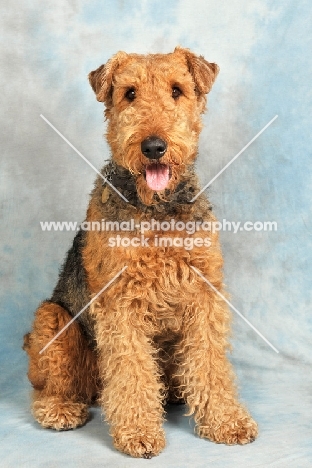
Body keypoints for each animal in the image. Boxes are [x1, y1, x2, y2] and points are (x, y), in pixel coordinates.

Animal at [23, 46, 258, 458]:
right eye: (129, 93)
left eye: (177, 90)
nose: (153, 147)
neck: (156, 209)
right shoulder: (120, 303)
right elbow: (131, 370)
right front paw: (138, 432)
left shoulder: (204, 293)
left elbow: (210, 362)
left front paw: (225, 421)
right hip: (53, 319)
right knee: (51, 387)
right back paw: (62, 408)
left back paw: (177, 393)